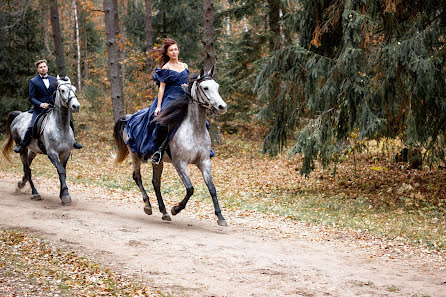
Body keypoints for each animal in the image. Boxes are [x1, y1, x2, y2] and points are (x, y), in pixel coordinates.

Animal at [1, 75, 80, 204]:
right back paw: (35, 192)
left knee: (26, 167)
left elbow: (63, 172)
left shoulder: (66, 153)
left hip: (33, 151)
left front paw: (62, 194)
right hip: (22, 148)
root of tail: (19, 115)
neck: (61, 127)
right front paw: (65, 195)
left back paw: (21, 184)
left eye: (75, 89)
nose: (76, 106)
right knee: (27, 169)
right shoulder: (52, 153)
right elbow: (61, 170)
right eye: (62, 90)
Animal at [113, 67, 228, 224]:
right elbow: (190, 188)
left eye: (217, 86)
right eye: (205, 87)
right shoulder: (180, 163)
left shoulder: (204, 162)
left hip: (157, 161)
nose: (222, 107)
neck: (194, 130)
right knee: (137, 177)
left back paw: (164, 211)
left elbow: (212, 188)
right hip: (134, 153)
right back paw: (148, 205)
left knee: (156, 182)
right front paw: (176, 209)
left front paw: (220, 217)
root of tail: (129, 118)